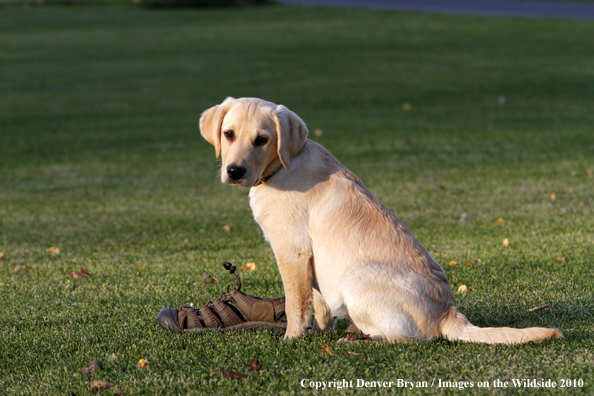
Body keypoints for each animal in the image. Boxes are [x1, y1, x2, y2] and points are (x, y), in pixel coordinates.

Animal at [199, 96, 560, 344]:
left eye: (262, 139)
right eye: (228, 134)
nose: (234, 171)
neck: (282, 166)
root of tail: (449, 313)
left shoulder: (292, 251)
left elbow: (295, 303)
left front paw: (292, 338)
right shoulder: (312, 258)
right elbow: (318, 303)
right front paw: (320, 330)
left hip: (356, 278)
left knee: (404, 340)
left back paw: (357, 338)